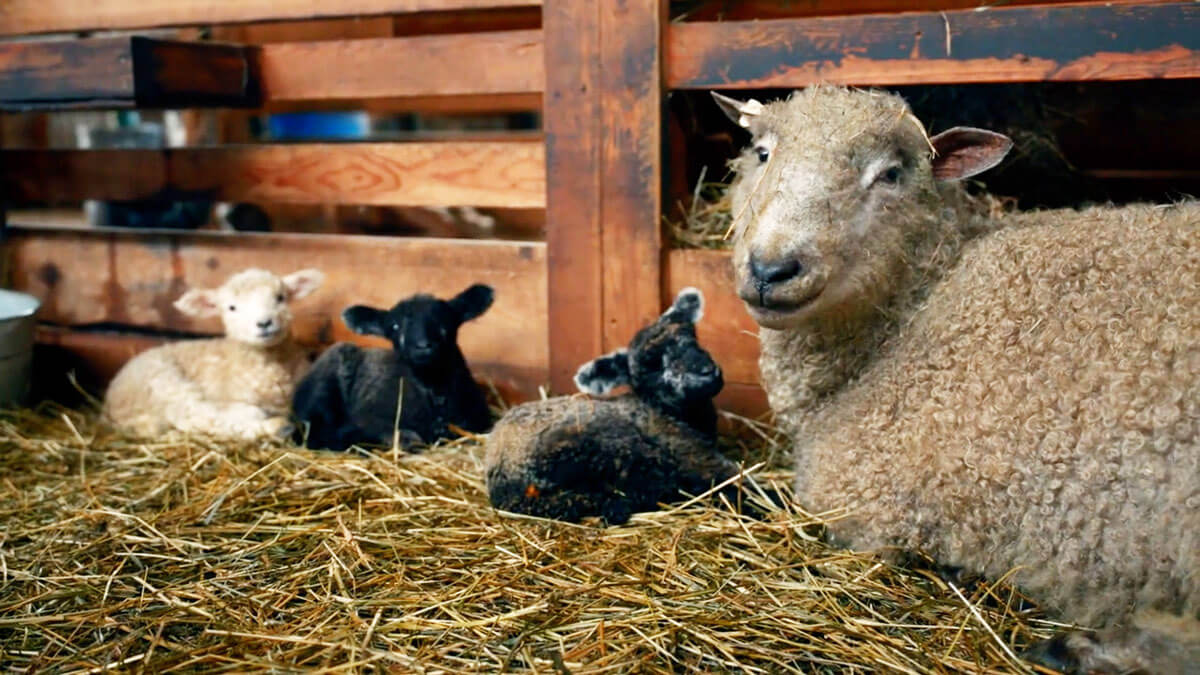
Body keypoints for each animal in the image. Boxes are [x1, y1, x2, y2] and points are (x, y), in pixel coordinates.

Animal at [103, 268, 324, 440]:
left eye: (280, 298)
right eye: (232, 308)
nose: (264, 323)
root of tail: (111, 403)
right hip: (163, 383)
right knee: (196, 417)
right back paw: (277, 427)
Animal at [485, 288, 761, 526]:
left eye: (693, 338)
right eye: (652, 367)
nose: (707, 373)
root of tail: (505, 471)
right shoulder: (694, 454)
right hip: (604, 448)